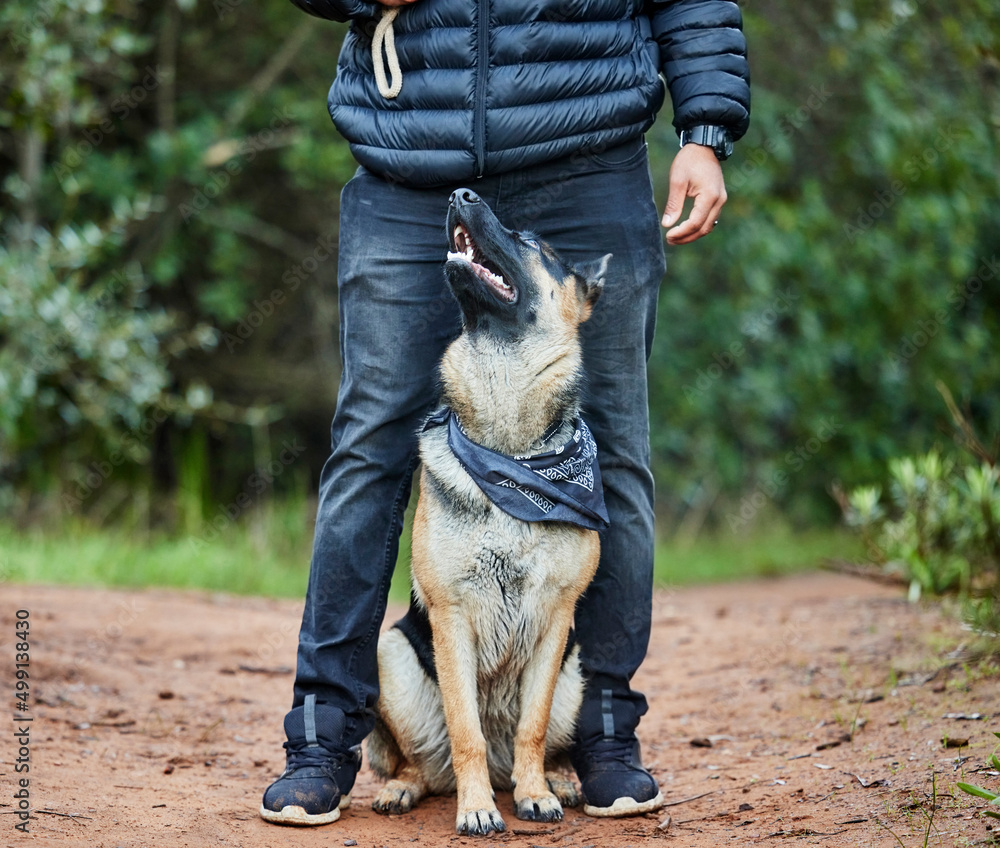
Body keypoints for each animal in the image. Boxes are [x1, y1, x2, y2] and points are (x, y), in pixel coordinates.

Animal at [368, 187, 608, 836]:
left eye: (533, 244)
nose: (460, 192)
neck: (511, 458)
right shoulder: (451, 619)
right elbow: (465, 731)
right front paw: (477, 809)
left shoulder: (555, 620)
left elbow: (531, 727)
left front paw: (536, 795)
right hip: (393, 657)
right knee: (426, 764)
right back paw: (407, 788)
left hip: (575, 674)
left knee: (533, 741)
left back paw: (554, 779)